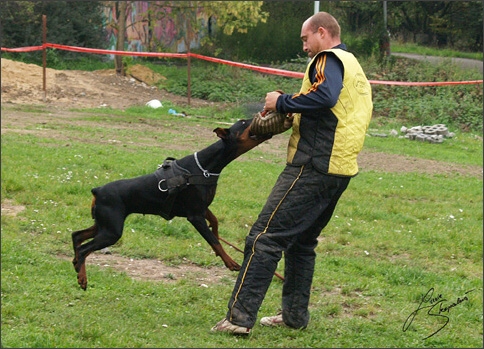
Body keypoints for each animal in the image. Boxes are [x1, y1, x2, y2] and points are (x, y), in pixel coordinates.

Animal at [70, 118, 270, 290]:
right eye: (243, 123)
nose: (259, 114)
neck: (205, 167)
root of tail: (97, 190)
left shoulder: (201, 208)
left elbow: (214, 222)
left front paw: (217, 234)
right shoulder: (195, 216)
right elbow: (214, 241)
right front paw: (230, 262)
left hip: (104, 224)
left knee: (77, 236)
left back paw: (76, 264)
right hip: (112, 231)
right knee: (84, 249)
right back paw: (82, 278)